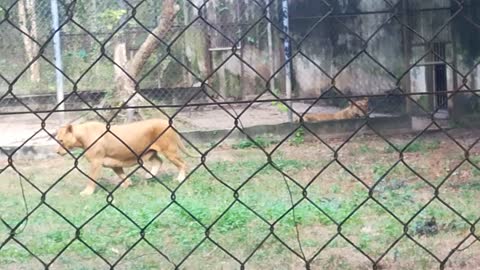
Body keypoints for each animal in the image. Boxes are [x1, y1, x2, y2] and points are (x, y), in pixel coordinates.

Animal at [54, 119, 193, 195]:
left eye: (61, 140)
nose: (57, 152)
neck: (82, 136)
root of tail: (167, 122)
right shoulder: (113, 162)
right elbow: (122, 175)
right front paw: (127, 185)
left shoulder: (96, 162)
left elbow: (91, 179)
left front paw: (87, 192)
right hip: (150, 151)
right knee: (158, 161)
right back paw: (149, 175)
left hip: (169, 151)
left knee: (183, 163)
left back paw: (180, 179)